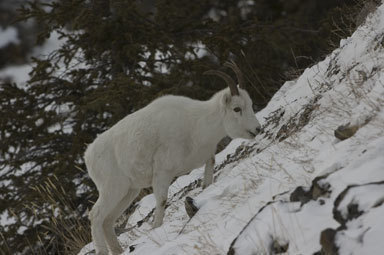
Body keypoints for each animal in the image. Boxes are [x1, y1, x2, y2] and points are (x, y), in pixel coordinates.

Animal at [85, 60, 260, 254]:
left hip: (128, 192)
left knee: (108, 221)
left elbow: (207, 182)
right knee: (96, 215)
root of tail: (88, 156)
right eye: (237, 109)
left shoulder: (207, 159)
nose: (257, 129)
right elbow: (161, 201)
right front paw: (156, 228)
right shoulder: (162, 173)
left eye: (250, 104)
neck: (196, 124)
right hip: (113, 189)